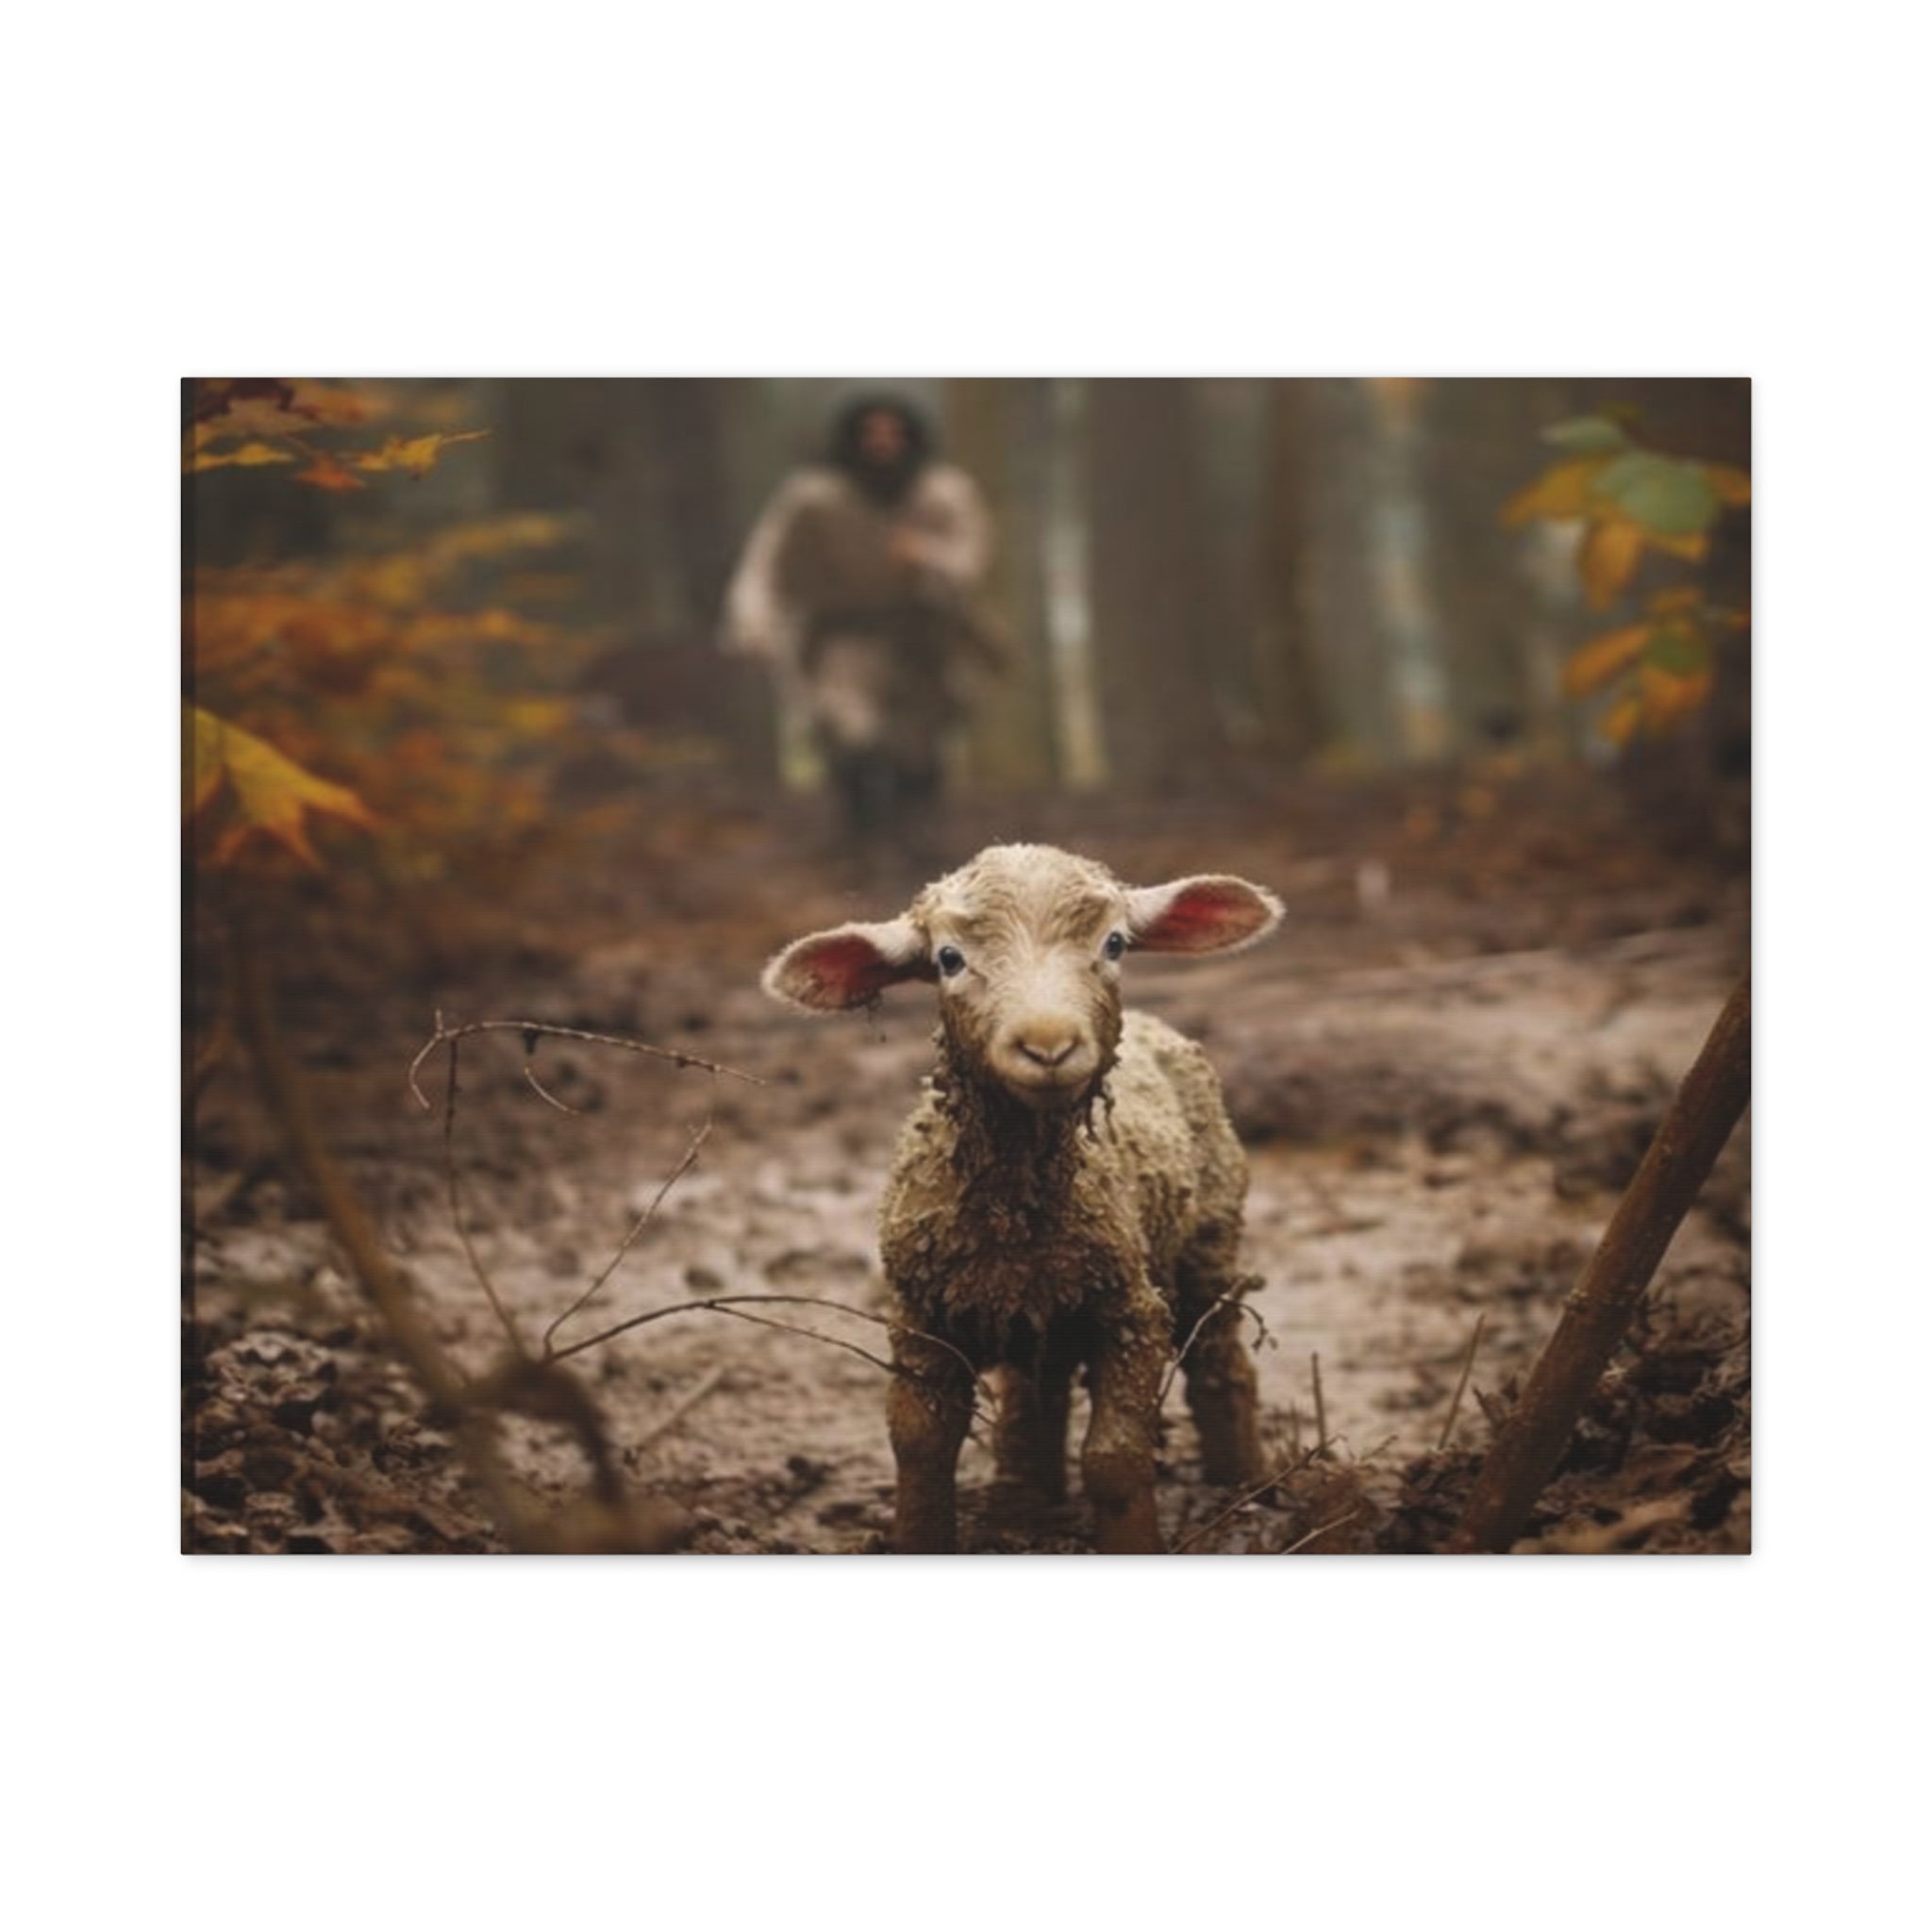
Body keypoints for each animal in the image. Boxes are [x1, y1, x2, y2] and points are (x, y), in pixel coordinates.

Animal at [762, 842, 1282, 1553]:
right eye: (949, 959)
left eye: (1114, 943)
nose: (1048, 1045)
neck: (1016, 1212)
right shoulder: (919, 1316)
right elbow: (919, 1446)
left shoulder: (1132, 1311)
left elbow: (1114, 1458)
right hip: (1046, 1313)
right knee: (1038, 1393)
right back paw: (1026, 1499)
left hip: (1210, 1240)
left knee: (1220, 1363)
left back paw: (1247, 1486)